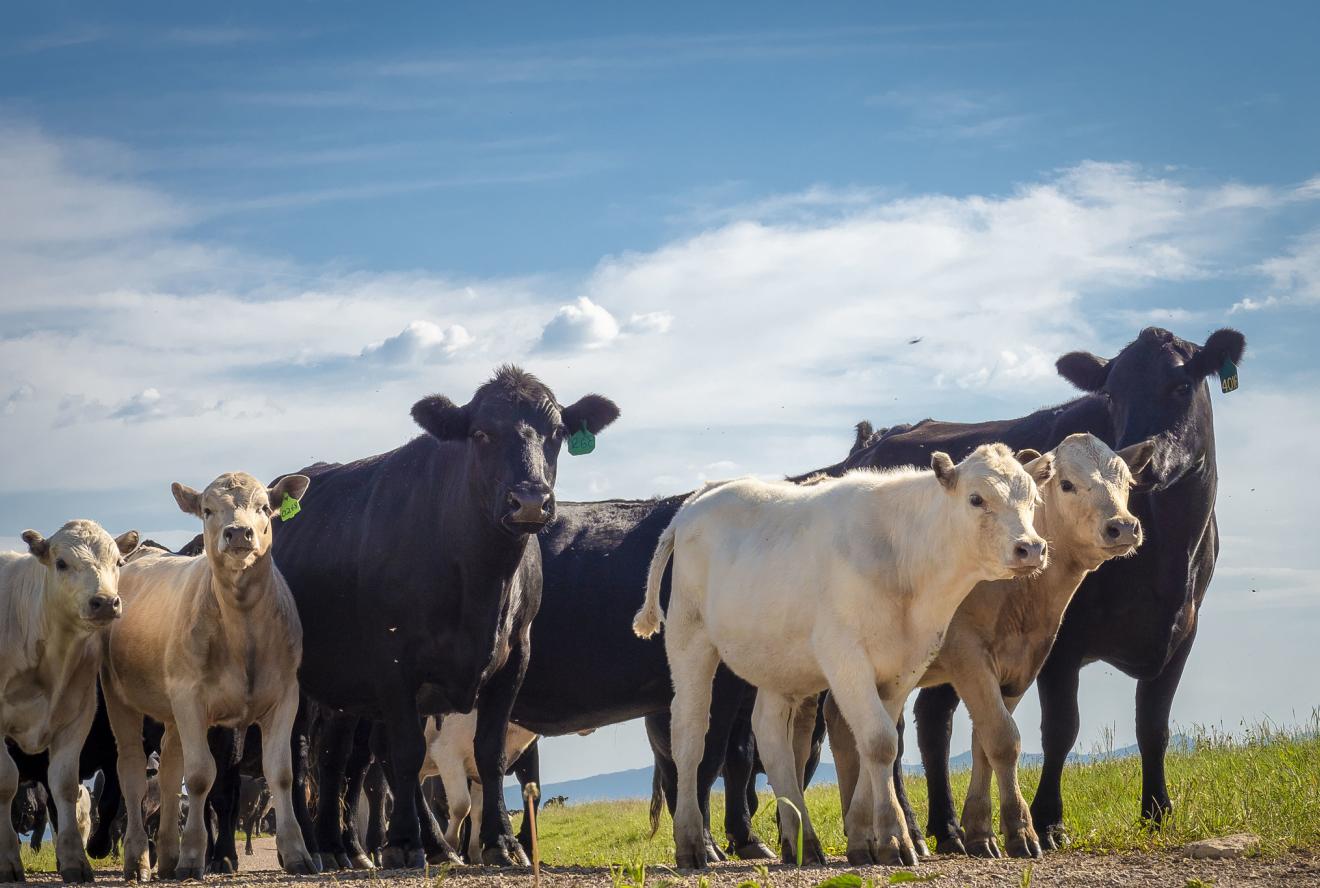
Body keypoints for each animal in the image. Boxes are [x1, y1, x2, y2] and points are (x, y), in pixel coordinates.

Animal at [1, 520, 138, 883]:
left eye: (118, 562)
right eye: (62, 563)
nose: (105, 602)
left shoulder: (76, 717)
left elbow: (63, 785)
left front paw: (75, 860)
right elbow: (5, 782)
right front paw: (8, 861)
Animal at [101, 471, 316, 881]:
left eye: (264, 507)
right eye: (207, 509)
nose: (238, 533)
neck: (243, 629)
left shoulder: (285, 696)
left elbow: (280, 772)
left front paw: (298, 853)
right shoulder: (192, 699)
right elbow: (201, 775)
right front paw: (191, 858)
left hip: (172, 710)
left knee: (170, 771)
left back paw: (167, 856)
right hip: (120, 698)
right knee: (133, 773)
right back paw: (139, 860)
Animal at [272, 366, 619, 869]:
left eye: (556, 433)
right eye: (481, 433)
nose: (530, 501)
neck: (480, 581)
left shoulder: (515, 657)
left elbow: (489, 753)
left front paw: (501, 842)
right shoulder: (392, 660)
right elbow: (406, 753)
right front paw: (402, 843)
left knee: (338, 760)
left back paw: (354, 847)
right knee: (302, 759)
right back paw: (314, 849)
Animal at [635, 445, 1052, 869]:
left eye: (1034, 500)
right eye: (976, 499)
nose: (1031, 548)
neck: (903, 557)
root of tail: (702, 496)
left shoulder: (902, 668)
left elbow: (875, 745)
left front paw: (869, 839)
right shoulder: (845, 657)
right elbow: (879, 742)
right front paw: (895, 838)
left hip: (778, 662)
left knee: (770, 736)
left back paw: (802, 841)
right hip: (691, 639)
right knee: (689, 737)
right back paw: (692, 844)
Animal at [828, 433, 1153, 862]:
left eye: (1128, 483)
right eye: (1067, 484)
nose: (1122, 526)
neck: (1020, 597)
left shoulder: (1020, 665)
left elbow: (985, 741)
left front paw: (981, 830)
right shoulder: (968, 656)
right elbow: (1002, 737)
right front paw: (1021, 830)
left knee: (841, 724)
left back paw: (860, 831)